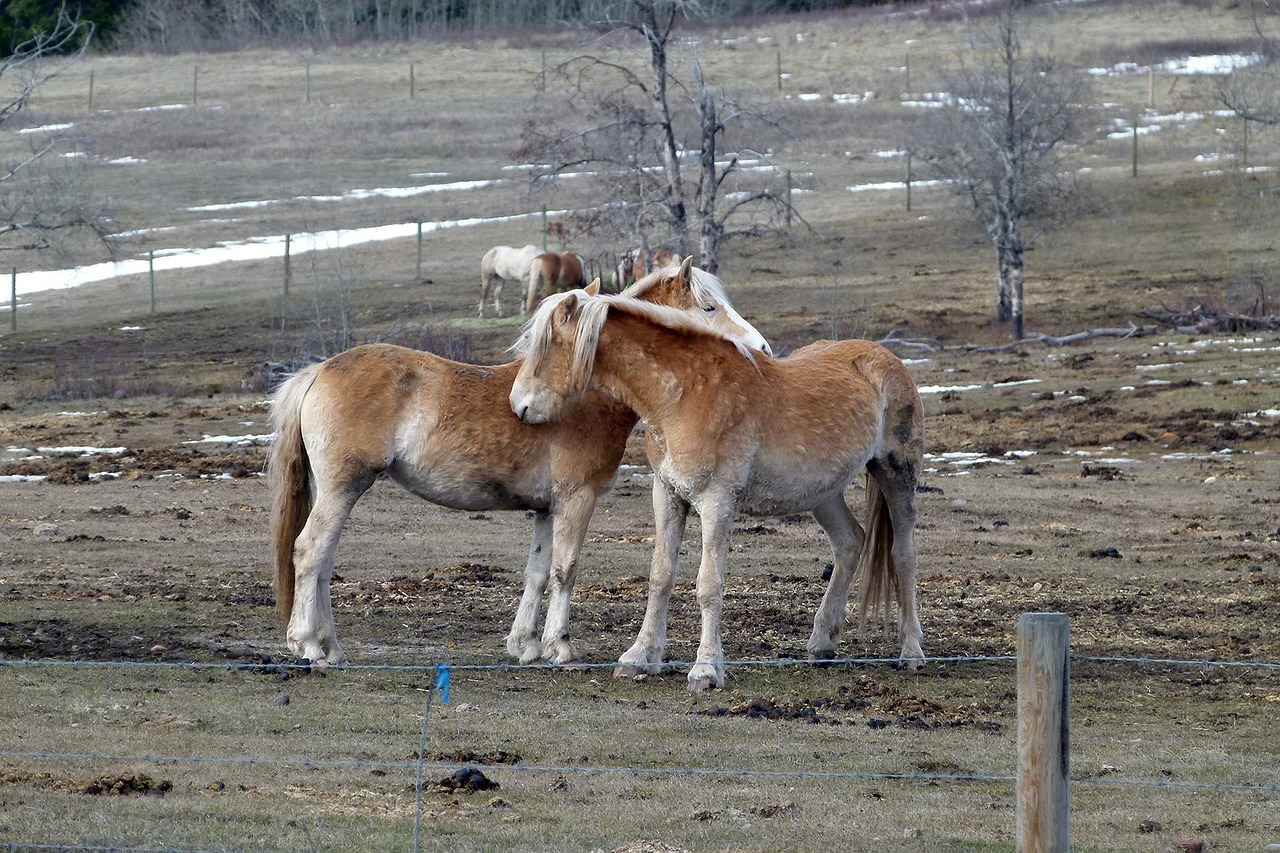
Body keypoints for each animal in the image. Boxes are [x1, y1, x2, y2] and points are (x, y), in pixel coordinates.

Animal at [270, 256, 768, 666]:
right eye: (709, 308)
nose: (761, 349)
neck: (585, 392)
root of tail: (318, 371)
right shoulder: (577, 498)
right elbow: (566, 569)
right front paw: (560, 647)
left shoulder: (546, 508)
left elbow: (538, 571)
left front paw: (526, 644)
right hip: (343, 486)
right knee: (310, 551)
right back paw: (308, 644)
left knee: (323, 560)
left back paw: (331, 646)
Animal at [506, 289, 921, 686]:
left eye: (545, 346)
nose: (517, 405)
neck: (684, 396)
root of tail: (884, 358)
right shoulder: (667, 495)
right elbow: (660, 576)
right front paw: (640, 657)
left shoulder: (717, 502)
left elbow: (708, 584)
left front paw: (705, 670)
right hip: (823, 493)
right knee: (850, 542)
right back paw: (821, 643)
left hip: (898, 475)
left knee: (903, 555)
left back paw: (911, 650)